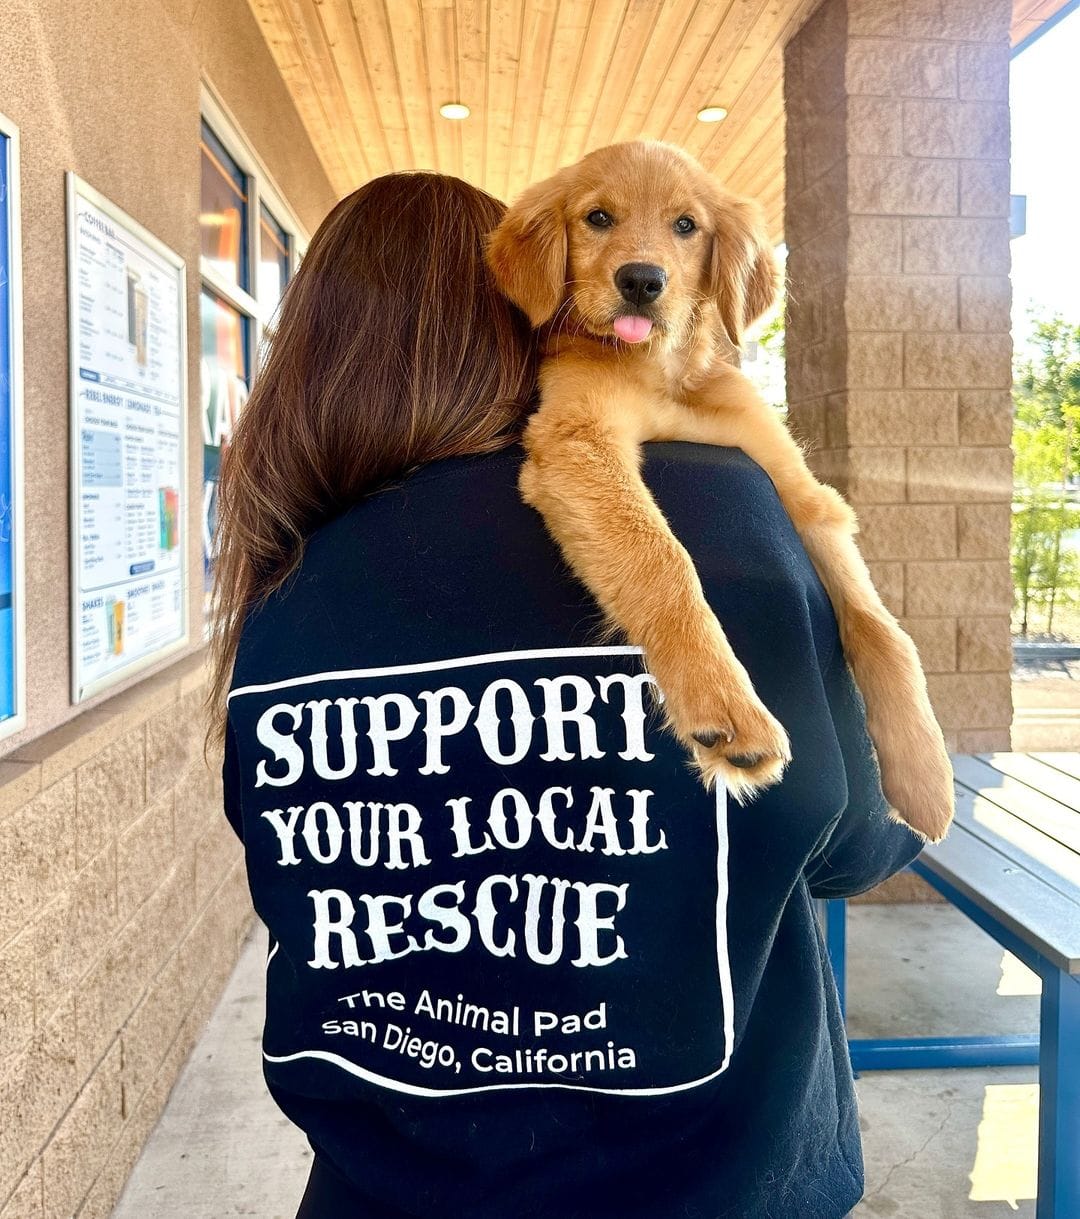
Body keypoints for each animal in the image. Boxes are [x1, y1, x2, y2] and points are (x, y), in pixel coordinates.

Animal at [490, 135, 955, 838]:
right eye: (597, 218)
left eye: (686, 226)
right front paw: (725, 701)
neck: (662, 374)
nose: (642, 281)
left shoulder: (794, 484)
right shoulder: (577, 439)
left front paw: (924, 770)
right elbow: (660, 559)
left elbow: (881, 627)